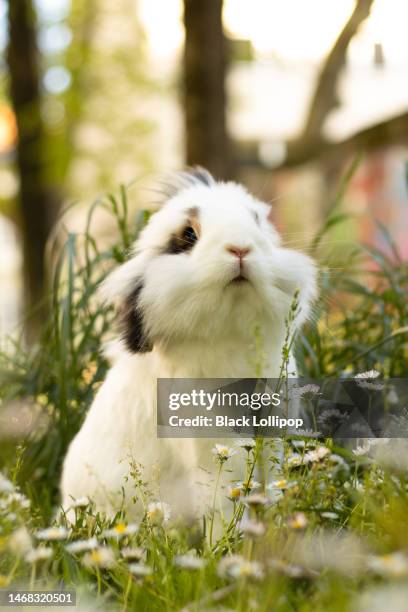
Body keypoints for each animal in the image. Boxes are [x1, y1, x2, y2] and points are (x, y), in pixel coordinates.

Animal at [60, 167, 318, 520]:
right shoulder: (208, 440)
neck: (230, 331)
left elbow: (270, 481)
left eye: (256, 221)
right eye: (189, 235)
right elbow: (223, 500)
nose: (240, 249)